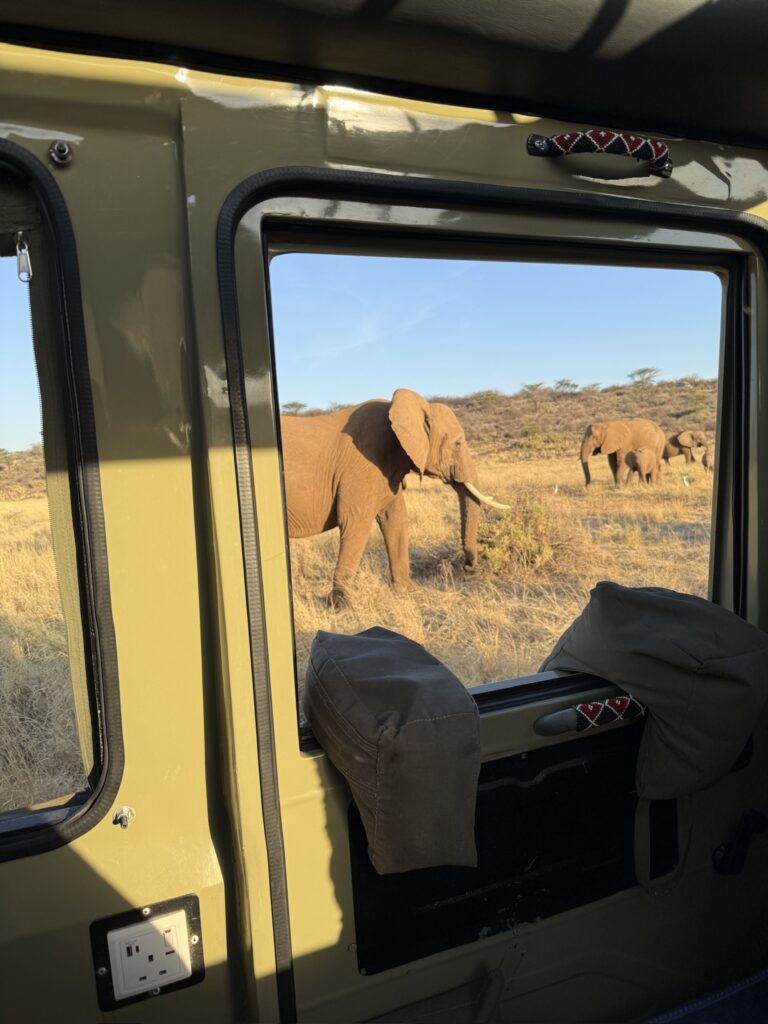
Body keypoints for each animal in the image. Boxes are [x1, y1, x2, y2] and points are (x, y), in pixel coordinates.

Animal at [281, 388, 507, 606]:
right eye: (458, 443)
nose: (469, 567)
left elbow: (395, 520)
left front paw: (408, 591)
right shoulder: (362, 462)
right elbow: (354, 521)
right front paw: (341, 605)